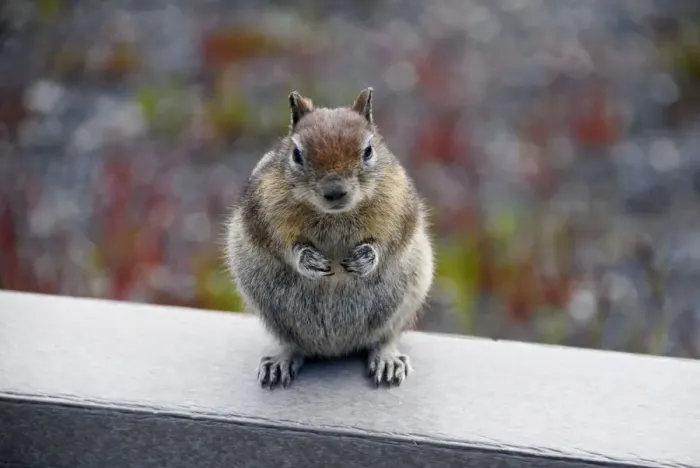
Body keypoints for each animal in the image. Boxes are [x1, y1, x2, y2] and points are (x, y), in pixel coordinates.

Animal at [225, 87, 434, 388]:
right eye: (296, 154)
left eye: (368, 150)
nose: (335, 190)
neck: (334, 216)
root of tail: (335, 349)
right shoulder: (265, 211)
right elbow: (281, 244)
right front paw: (308, 260)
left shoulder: (398, 204)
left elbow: (390, 238)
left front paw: (366, 258)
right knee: (293, 345)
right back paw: (280, 361)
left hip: (404, 305)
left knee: (384, 339)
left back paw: (387, 360)